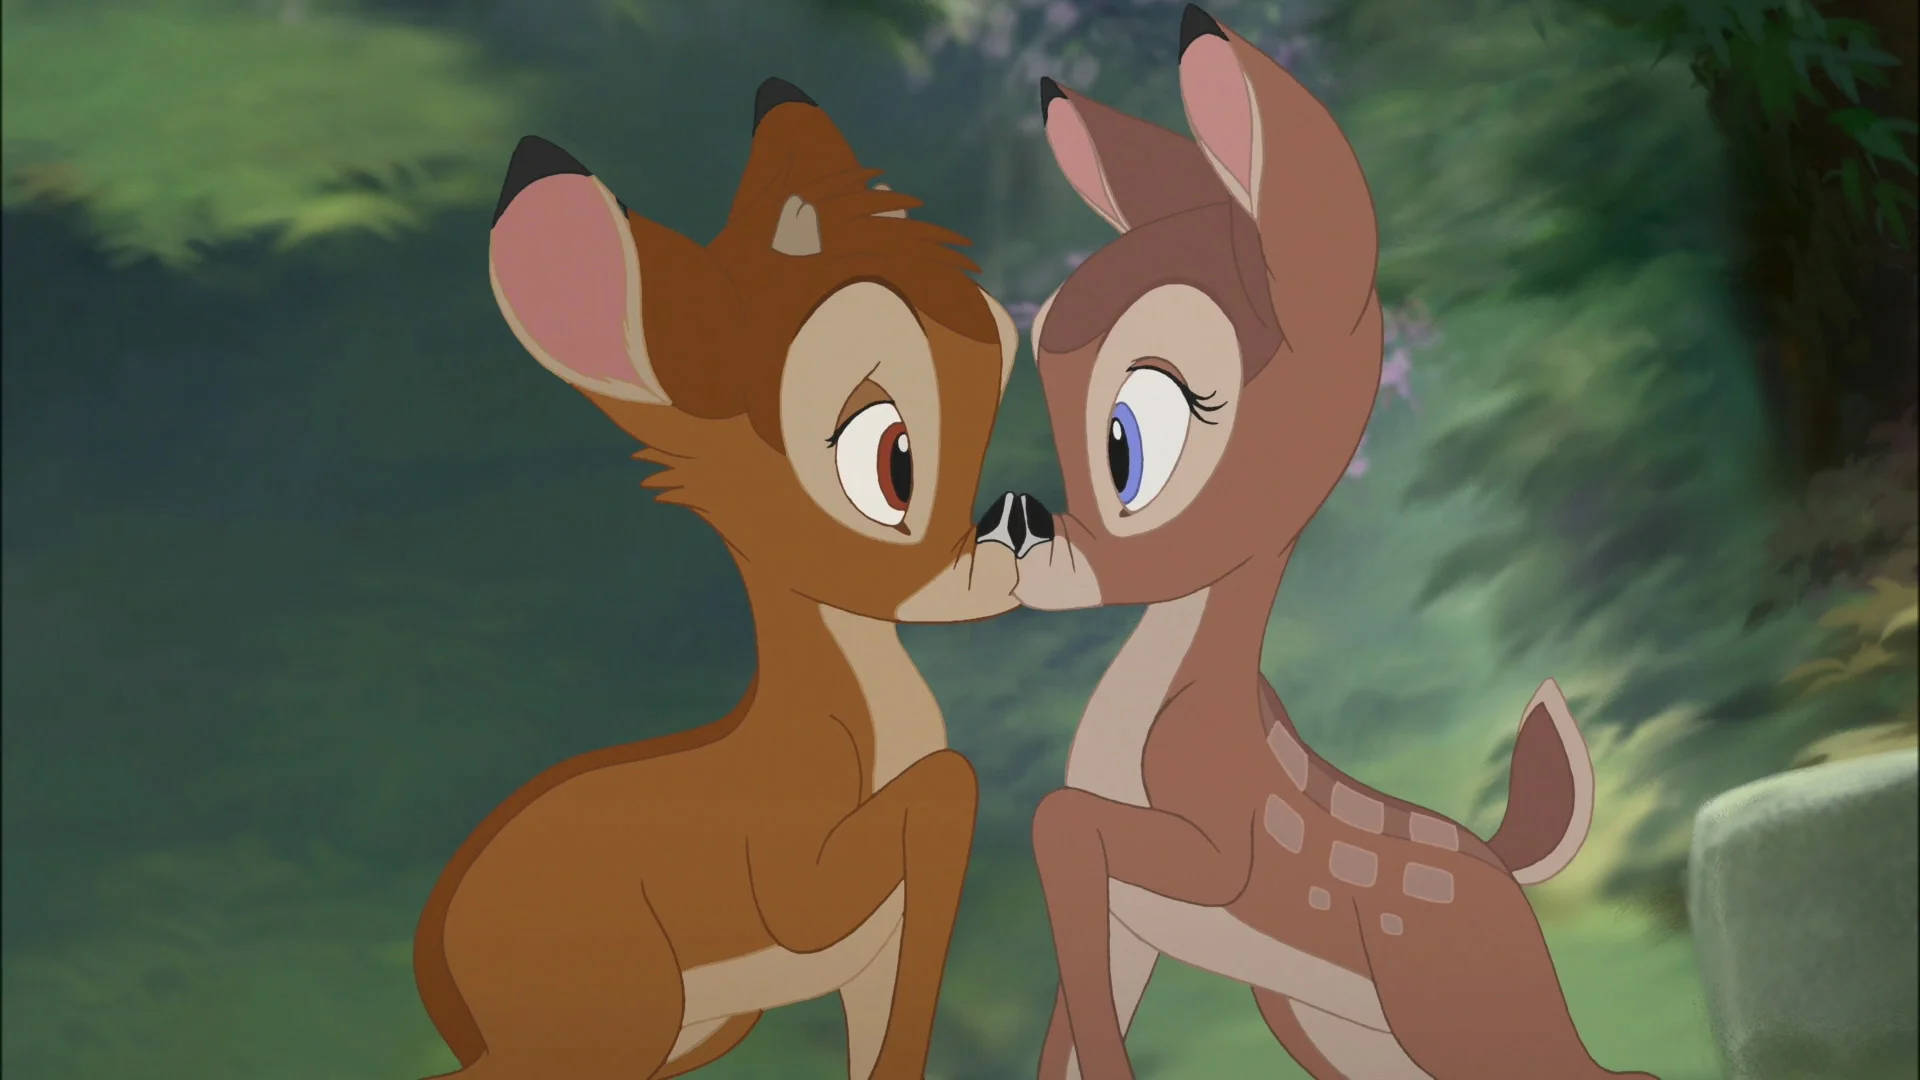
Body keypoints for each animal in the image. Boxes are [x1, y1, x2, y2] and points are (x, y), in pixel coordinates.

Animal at [411, 78, 1057, 1080]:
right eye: (889, 460)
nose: (1021, 522)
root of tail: (438, 937)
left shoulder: (868, 964)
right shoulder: (799, 896)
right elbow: (948, 779)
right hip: (619, 1017)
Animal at [1007, 8, 1661, 1079]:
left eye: (1130, 441)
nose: (1017, 526)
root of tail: (1502, 864)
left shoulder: (1215, 857)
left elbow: (1060, 818)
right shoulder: (1135, 925)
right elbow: (1067, 1021)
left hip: (1463, 1007)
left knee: (1615, 1068)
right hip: (1335, 1028)